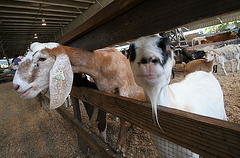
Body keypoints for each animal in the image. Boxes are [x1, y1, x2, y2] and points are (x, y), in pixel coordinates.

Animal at [12, 41, 145, 154]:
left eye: (42, 58)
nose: (16, 85)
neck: (101, 63)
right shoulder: (102, 89)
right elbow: (97, 104)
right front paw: (92, 122)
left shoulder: (123, 87)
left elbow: (123, 114)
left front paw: (121, 144)